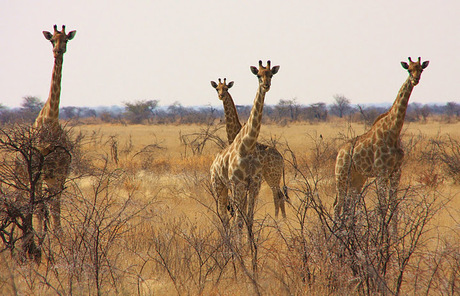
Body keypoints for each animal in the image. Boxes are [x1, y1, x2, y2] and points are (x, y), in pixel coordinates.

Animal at [210, 60, 278, 231]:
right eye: (258, 75)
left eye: (271, 74)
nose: (266, 85)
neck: (247, 145)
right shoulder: (237, 184)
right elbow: (239, 221)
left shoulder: (254, 184)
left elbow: (249, 219)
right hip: (218, 186)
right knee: (223, 217)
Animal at [334, 56, 428, 227]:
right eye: (409, 69)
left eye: (421, 69)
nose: (415, 80)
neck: (394, 131)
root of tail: (339, 152)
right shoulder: (381, 172)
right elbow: (382, 207)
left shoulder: (396, 171)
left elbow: (393, 207)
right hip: (341, 175)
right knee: (338, 205)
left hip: (357, 178)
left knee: (348, 205)